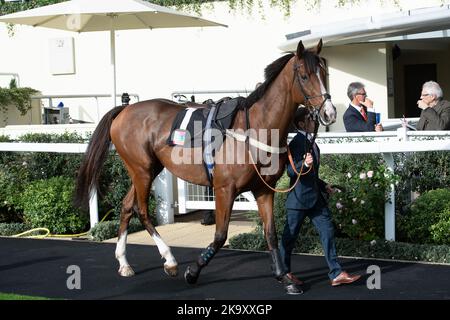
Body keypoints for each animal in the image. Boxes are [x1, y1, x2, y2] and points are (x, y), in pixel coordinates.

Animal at [74, 38, 334, 294]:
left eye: (325, 73)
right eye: (304, 76)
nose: (329, 113)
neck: (256, 128)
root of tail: (124, 110)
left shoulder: (263, 189)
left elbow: (270, 233)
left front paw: (284, 277)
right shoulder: (224, 189)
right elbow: (220, 235)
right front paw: (193, 271)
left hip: (146, 169)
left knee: (127, 206)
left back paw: (124, 263)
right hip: (142, 170)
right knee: (142, 210)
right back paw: (170, 260)